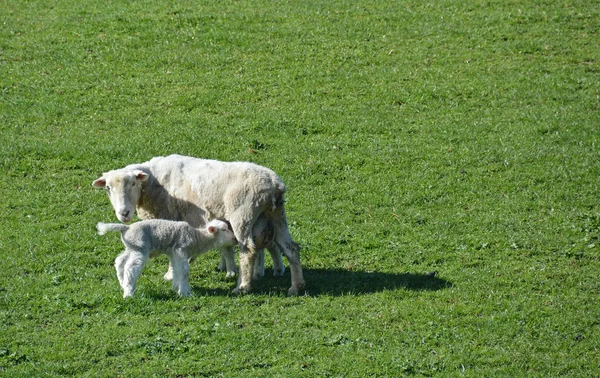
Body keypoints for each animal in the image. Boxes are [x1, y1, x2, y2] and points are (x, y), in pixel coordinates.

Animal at [97, 219, 238, 298]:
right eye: (224, 230)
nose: (235, 239)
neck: (197, 237)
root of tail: (127, 228)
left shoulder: (174, 253)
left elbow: (176, 270)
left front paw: (176, 287)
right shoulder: (181, 249)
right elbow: (184, 271)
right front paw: (185, 293)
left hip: (131, 247)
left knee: (120, 261)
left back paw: (123, 283)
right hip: (140, 248)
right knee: (131, 268)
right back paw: (129, 293)